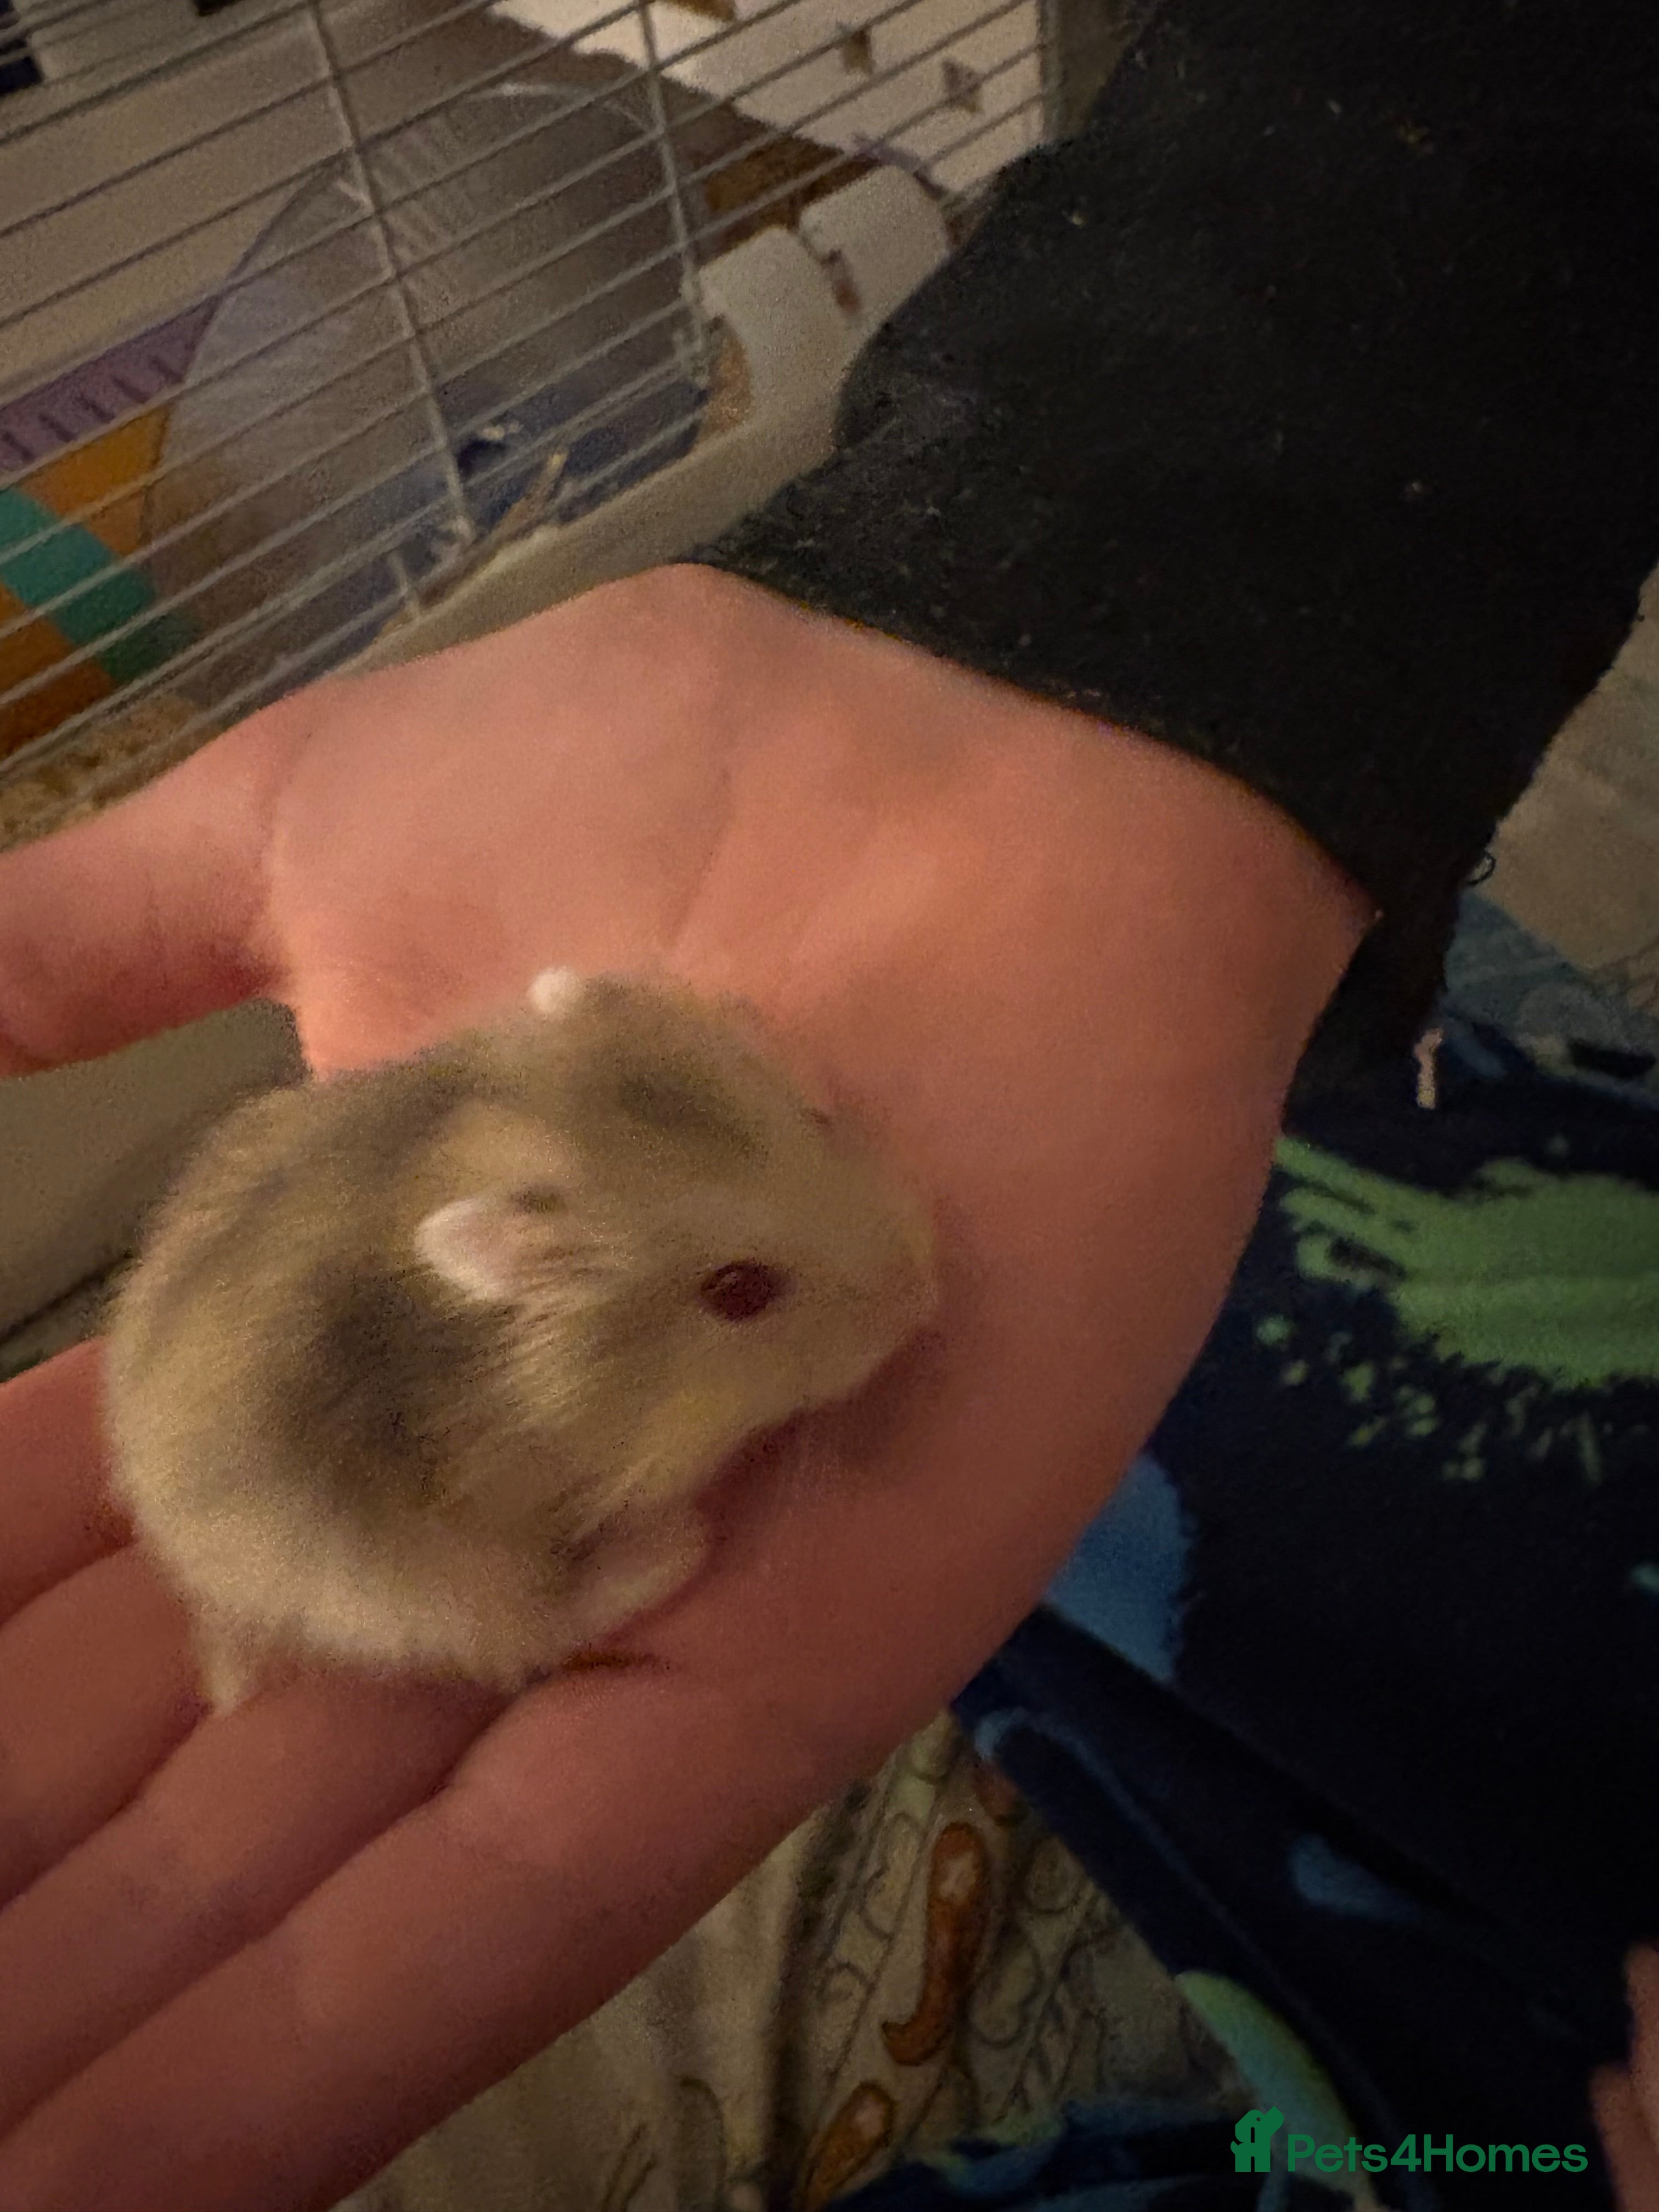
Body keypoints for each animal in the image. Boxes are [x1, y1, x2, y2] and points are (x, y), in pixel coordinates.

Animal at [103, 968, 938, 1714]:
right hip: (429, 1592)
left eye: (817, 1119)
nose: (926, 1295)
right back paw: (669, 1553)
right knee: (526, 1638)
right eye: (739, 1291)